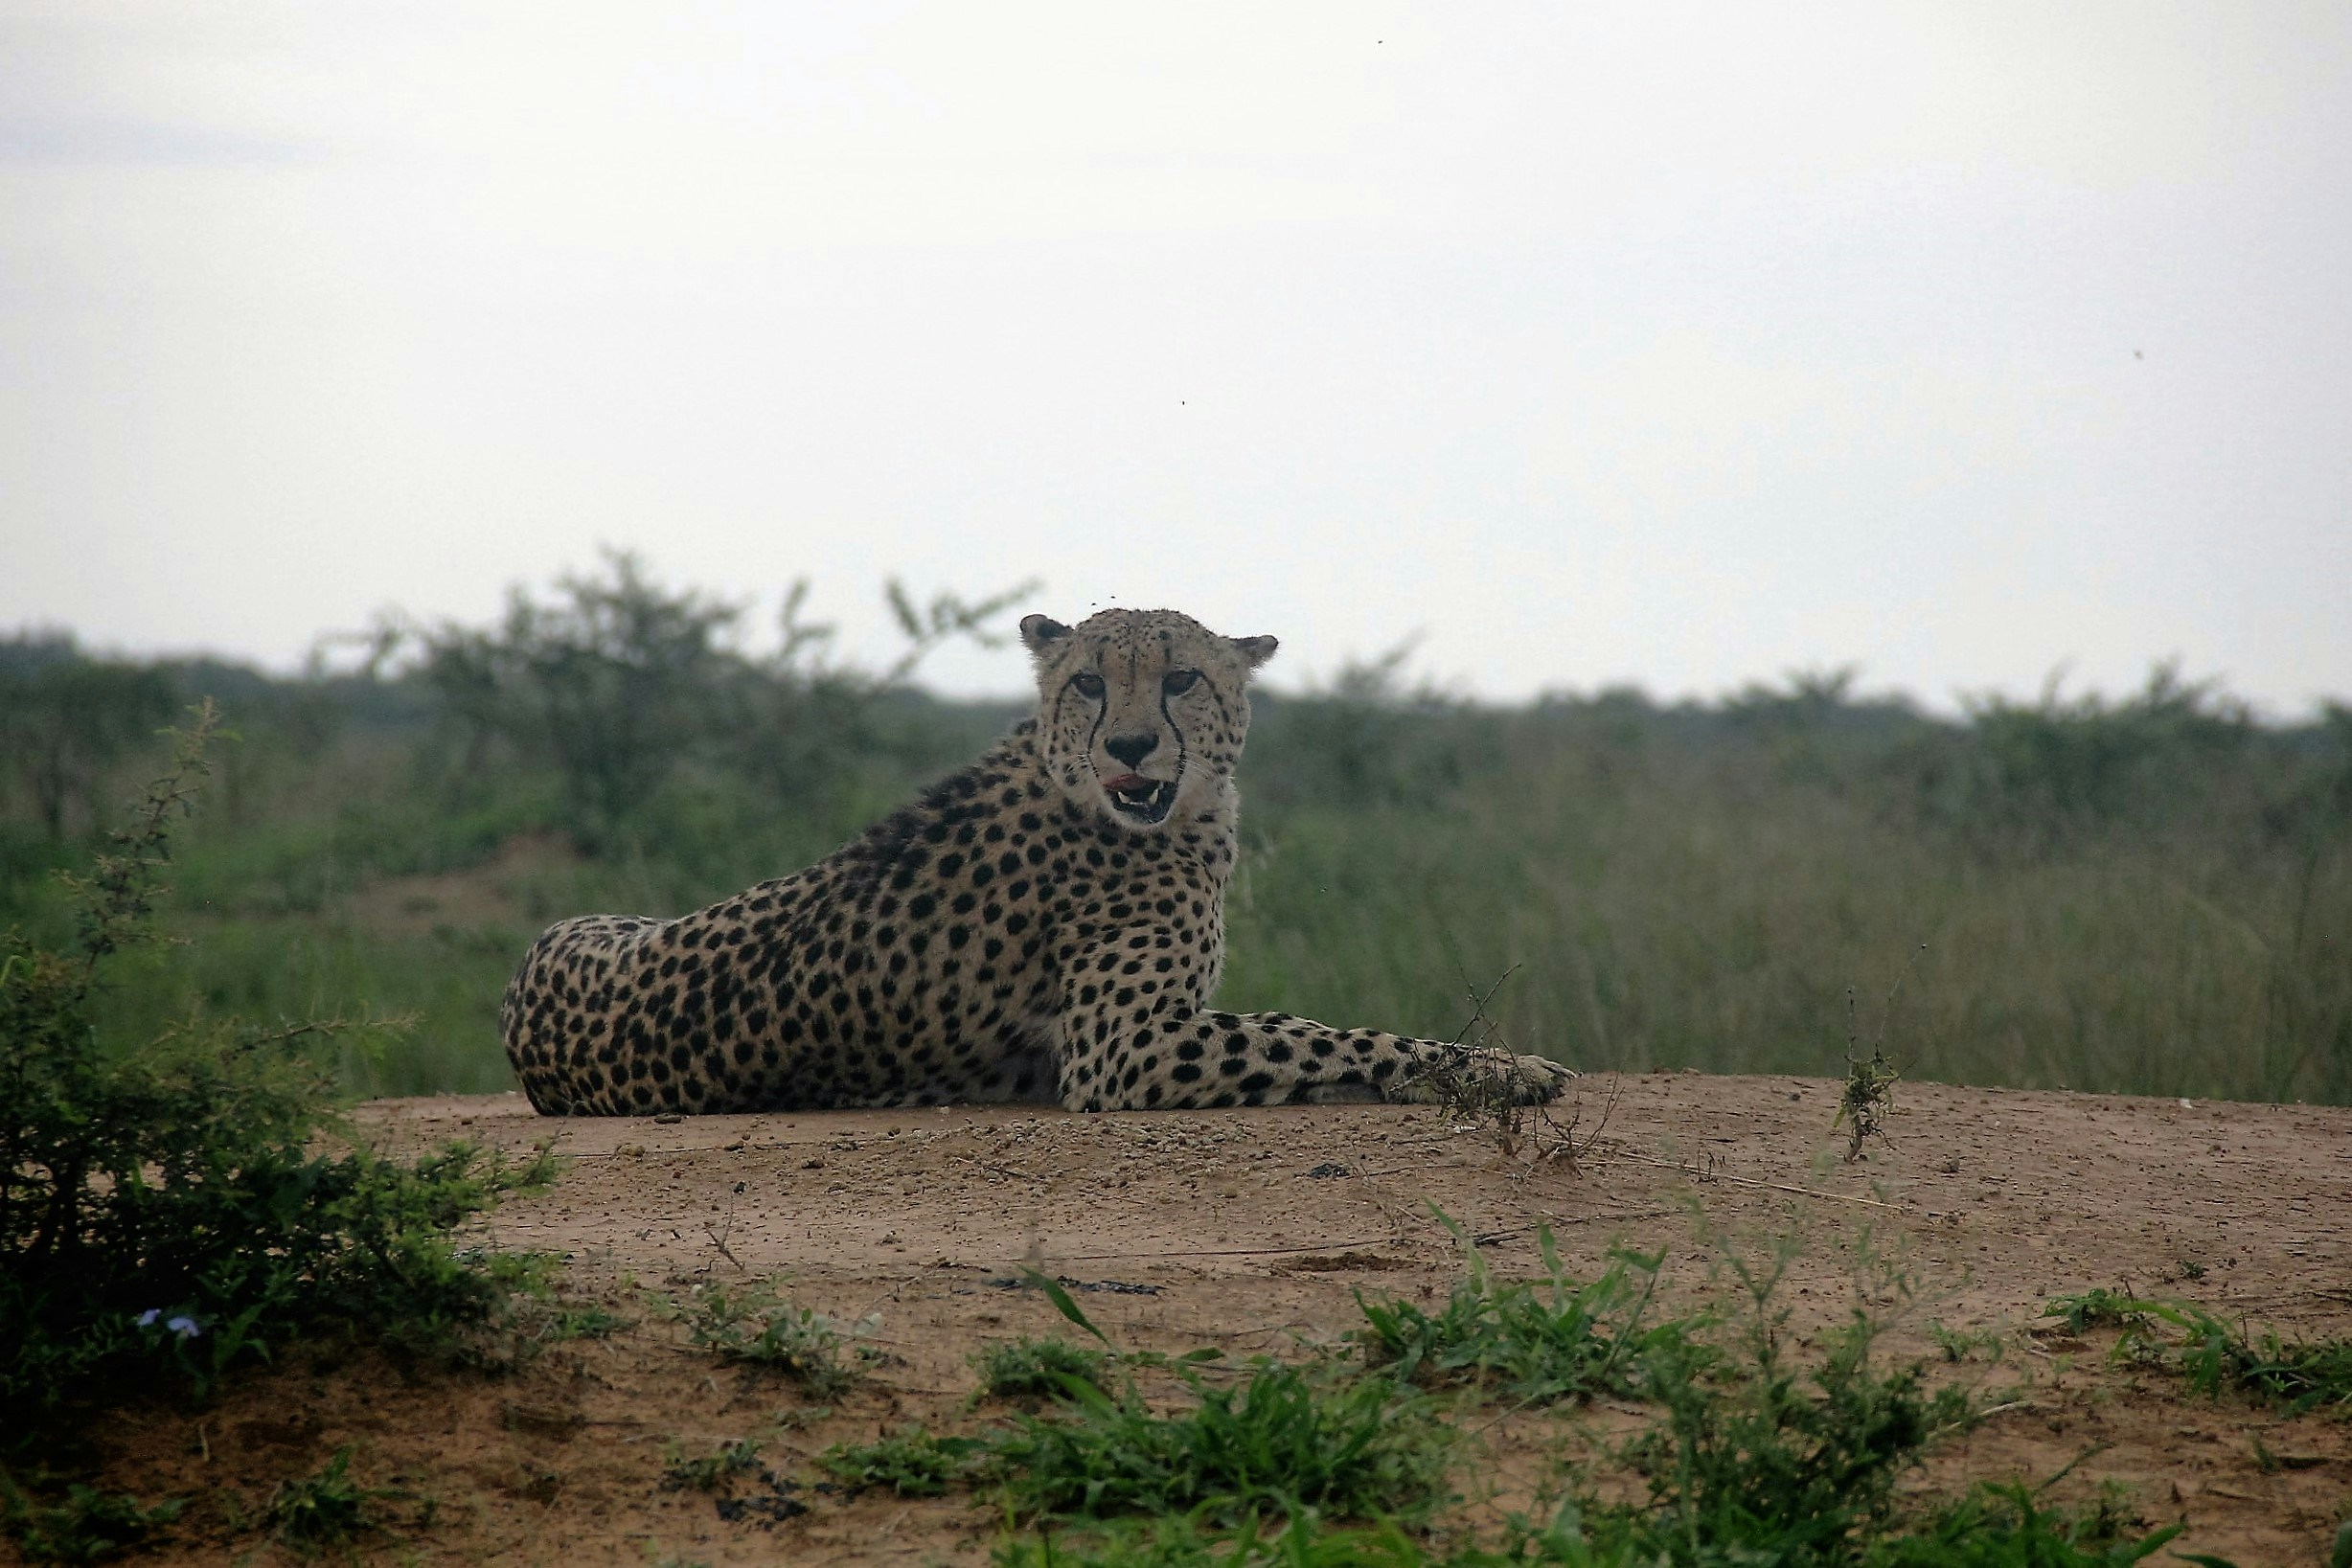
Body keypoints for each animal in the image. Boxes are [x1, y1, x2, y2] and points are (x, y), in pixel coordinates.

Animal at [501, 607, 1573, 1115]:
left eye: (1181, 678)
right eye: (1091, 683)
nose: (1131, 748)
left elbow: (1317, 1031)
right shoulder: (1123, 1047)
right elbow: (1320, 1032)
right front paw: (1505, 1069)